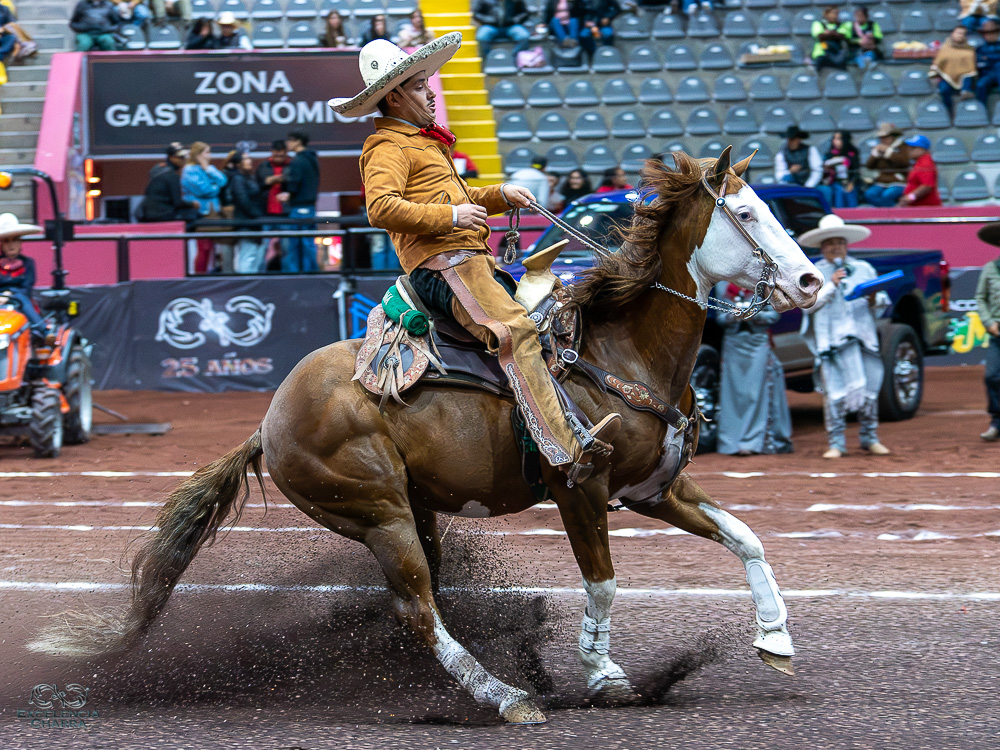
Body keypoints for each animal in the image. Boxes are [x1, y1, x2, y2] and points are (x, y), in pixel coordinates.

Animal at [31, 148, 823, 724]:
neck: (617, 350)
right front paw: (604, 675)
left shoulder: (654, 487)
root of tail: (268, 420)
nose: (813, 282)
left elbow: (747, 537)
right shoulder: (582, 487)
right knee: (416, 607)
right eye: (746, 213)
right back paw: (506, 697)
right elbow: (602, 582)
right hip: (378, 513)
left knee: (423, 603)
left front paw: (777, 638)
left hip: (414, 511)